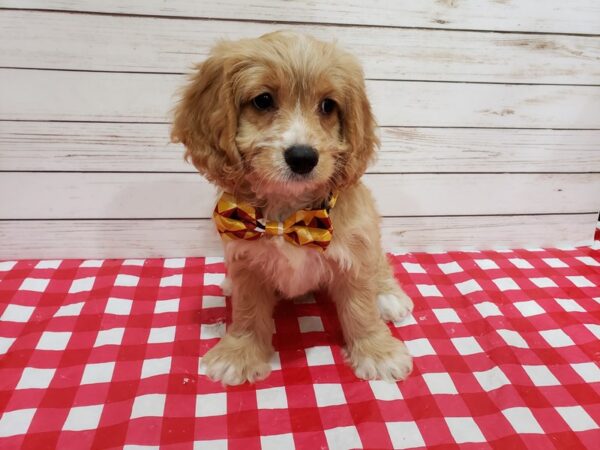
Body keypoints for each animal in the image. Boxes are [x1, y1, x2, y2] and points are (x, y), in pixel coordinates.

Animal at [169, 31, 412, 384]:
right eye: (263, 100)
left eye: (328, 105)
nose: (303, 157)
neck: (290, 215)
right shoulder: (246, 261)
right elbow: (247, 311)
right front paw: (239, 353)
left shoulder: (355, 252)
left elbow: (360, 306)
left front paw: (377, 352)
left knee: (379, 266)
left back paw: (389, 296)